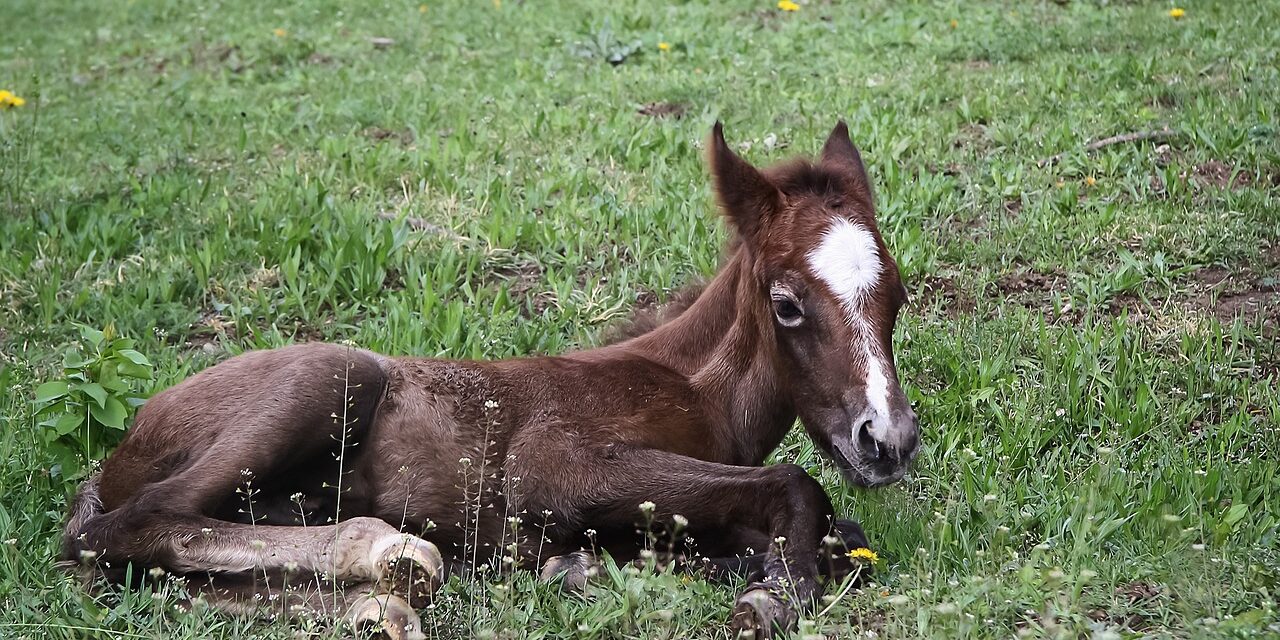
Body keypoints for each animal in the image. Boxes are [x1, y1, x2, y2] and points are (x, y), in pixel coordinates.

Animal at [62, 122, 921, 637]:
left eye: (899, 294)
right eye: (787, 303)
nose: (887, 441)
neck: (690, 386)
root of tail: (122, 447)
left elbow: (844, 537)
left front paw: (596, 566)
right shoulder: (550, 464)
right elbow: (799, 489)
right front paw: (771, 593)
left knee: (151, 569)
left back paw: (380, 602)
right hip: (331, 373)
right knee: (130, 528)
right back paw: (386, 554)